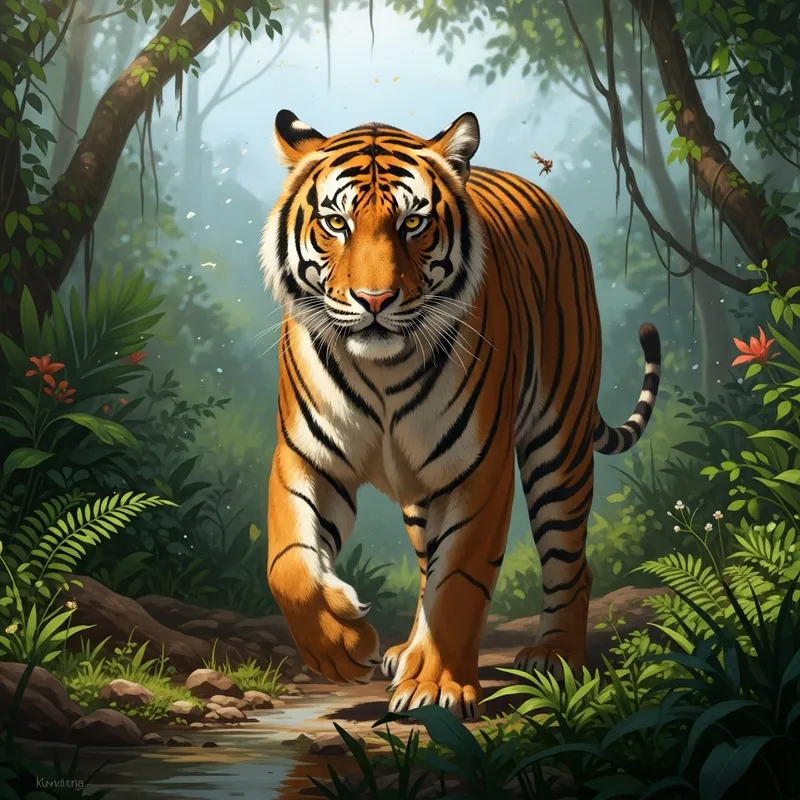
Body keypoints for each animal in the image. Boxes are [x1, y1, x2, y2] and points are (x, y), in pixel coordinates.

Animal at [259, 109, 661, 720]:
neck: (381, 370)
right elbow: (288, 565)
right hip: (419, 491)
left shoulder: (479, 470)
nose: (374, 301)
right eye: (335, 223)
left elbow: (461, 582)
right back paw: (405, 651)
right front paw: (343, 648)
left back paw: (555, 656)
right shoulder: (307, 457)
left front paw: (437, 686)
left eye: (413, 223)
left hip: (558, 445)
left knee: (570, 559)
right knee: (427, 564)